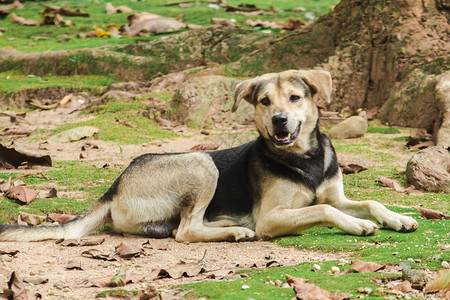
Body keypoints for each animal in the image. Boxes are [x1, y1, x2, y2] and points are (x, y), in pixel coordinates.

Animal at [0, 69, 418, 243]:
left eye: (295, 97)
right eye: (265, 101)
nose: (280, 120)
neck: (303, 159)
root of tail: (114, 186)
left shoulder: (338, 194)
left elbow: (366, 201)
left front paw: (397, 218)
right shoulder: (271, 217)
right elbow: (324, 209)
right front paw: (359, 225)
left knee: (181, 227)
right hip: (201, 164)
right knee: (185, 231)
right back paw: (236, 231)